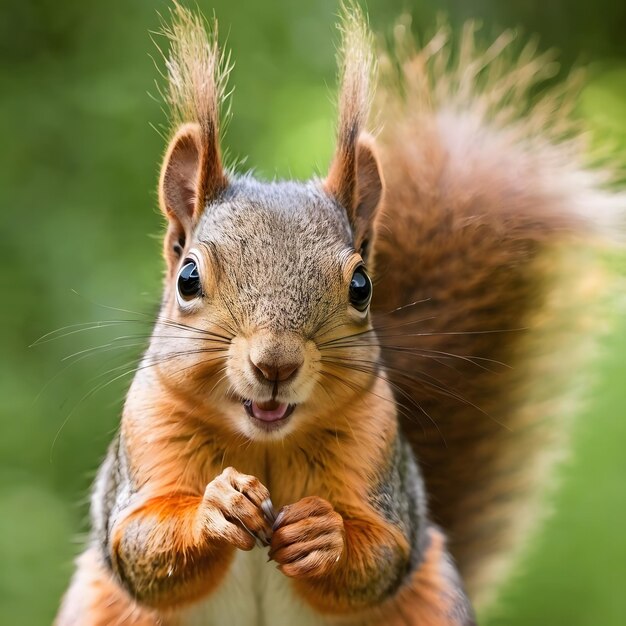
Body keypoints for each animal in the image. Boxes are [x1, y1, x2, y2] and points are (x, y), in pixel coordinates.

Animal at [56, 4, 620, 624]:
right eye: (188, 279)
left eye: (361, 286)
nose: (275, 365)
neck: (265, 443)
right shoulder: (145, 437)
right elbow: (139, 544)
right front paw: (218, 506)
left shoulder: (377, 446)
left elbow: (381, 555)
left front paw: (325, 533)